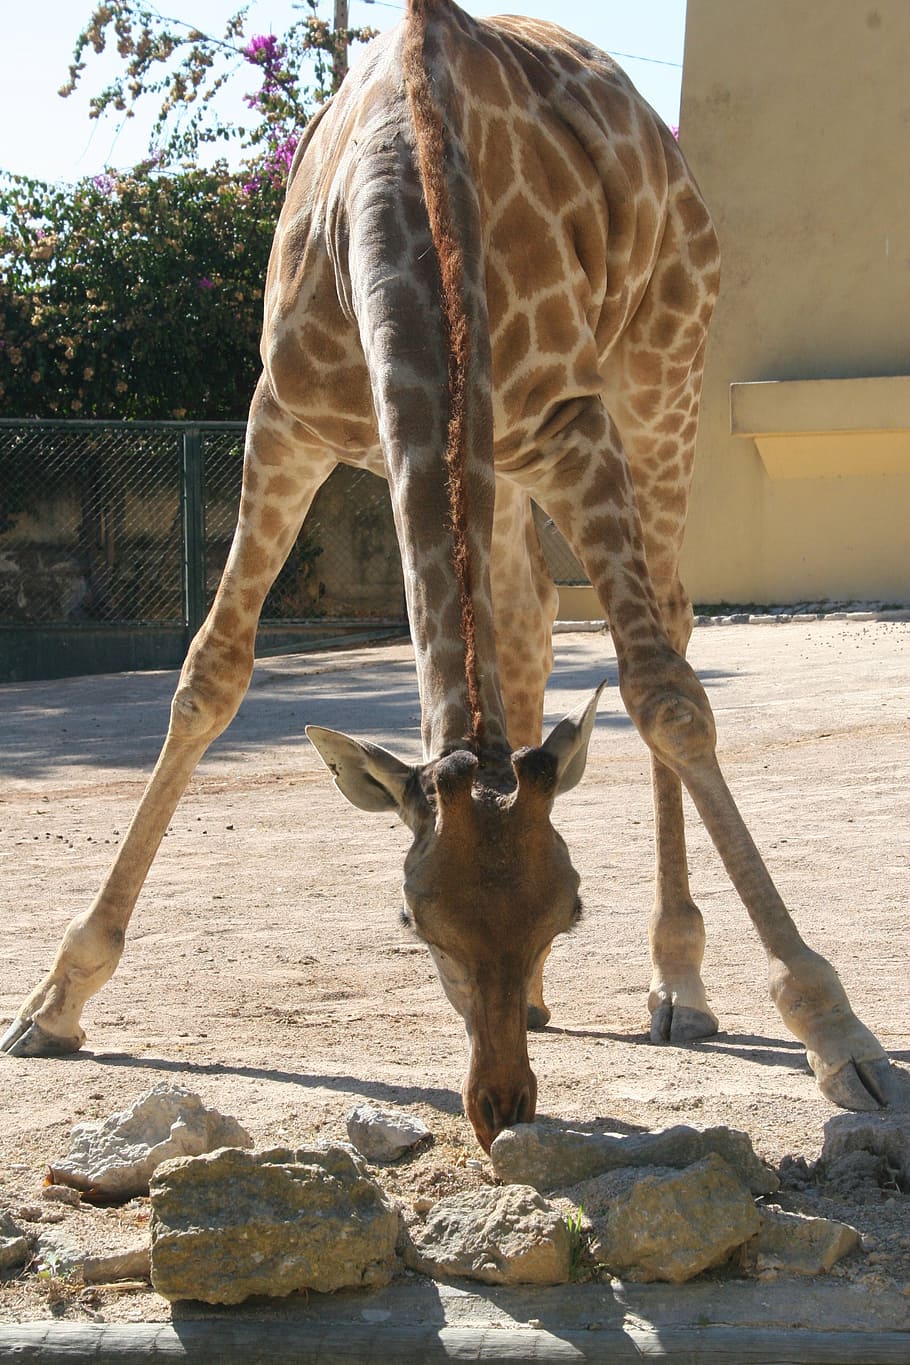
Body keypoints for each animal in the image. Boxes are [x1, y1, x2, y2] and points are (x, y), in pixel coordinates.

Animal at [0, 0, 894, 1152]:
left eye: (571, 907)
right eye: (412, 918)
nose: (499, 1106)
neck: (415, 184)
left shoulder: (569, 424)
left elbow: (665, 698)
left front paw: (837, 1032)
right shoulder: (284, 422)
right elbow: (209, 675)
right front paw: (55, 998)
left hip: (665, 368)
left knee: (670, 618)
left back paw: (678, 985)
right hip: (506, 462)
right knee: (523, 612)